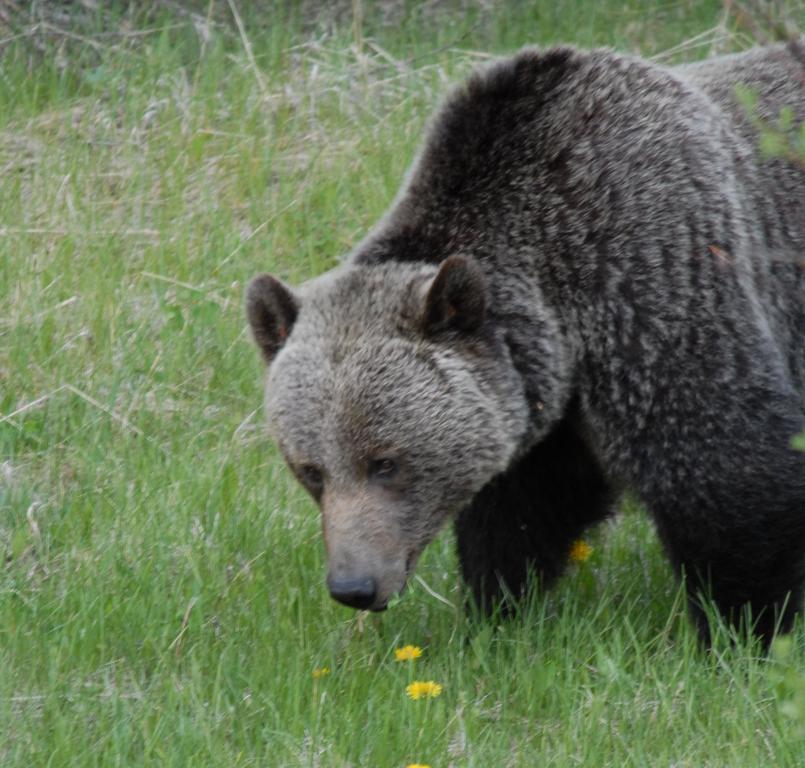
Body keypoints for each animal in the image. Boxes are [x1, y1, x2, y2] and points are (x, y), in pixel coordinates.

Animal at [247, 40, 804, 640]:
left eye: (386, 462)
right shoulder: (542, 399)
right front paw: (497, 607)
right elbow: (526, 509)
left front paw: (747, 623)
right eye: (311, 470)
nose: (354, 586)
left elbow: (724, 471)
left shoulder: (658, 283)